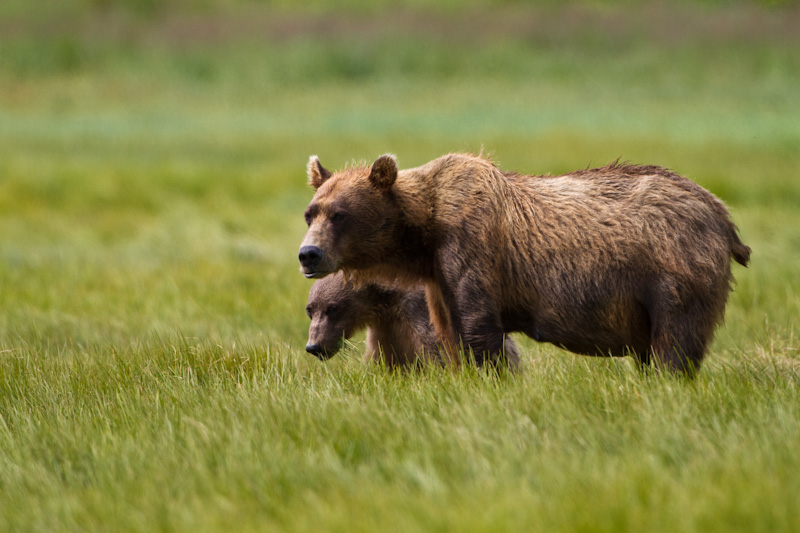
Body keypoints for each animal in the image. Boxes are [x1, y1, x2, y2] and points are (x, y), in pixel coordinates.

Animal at [296, 152, 748, 372]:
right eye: (310, 212)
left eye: (340, 214)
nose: (308, 254)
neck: (424, 234)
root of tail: (719, 208)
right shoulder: (438, 279)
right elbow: (450, 334)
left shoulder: (472, 245)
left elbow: (480, 330)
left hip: (671, 269)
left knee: (675, 340)